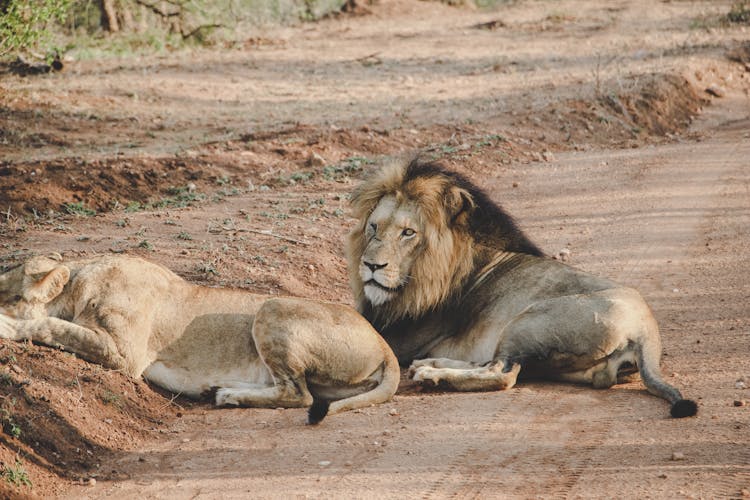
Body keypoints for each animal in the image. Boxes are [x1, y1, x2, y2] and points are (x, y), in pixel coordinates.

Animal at [0, 254, 400, 422]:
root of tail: (384, 344)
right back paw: (223, 390)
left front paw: (6, 326)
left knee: (299, 395)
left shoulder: (125, 356)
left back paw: (228, 396)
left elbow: (52, 326)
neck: (80, 283)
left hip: (271, 307)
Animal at [346, 158, 700, 416]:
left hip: (528, 321)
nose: (372, 266)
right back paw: (431, 365)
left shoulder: (400, 335)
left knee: (503, 373)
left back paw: (433, 376)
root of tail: (647, 329)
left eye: (408, 233)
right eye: (374, 227)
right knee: (495, 364)